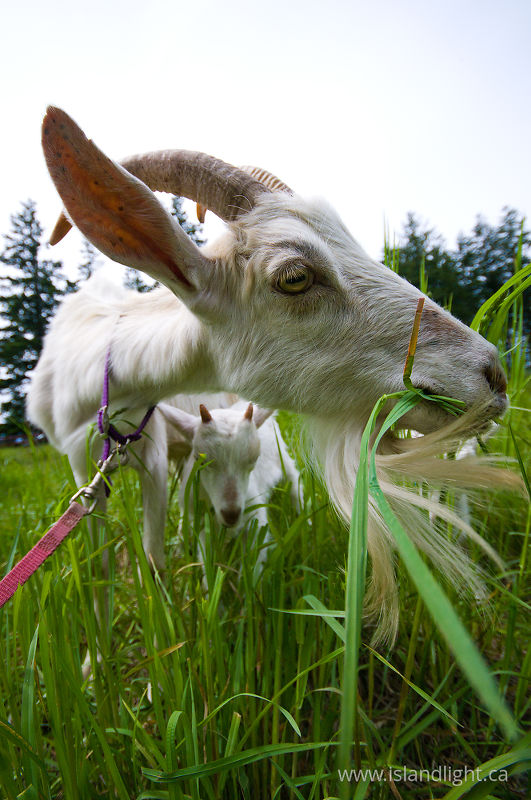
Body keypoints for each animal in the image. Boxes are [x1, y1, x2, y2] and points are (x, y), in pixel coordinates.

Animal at [33, 106, 517, 642]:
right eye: (294, 277)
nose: (493, 374)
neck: (106, 370)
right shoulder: (83, 462)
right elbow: (108, 563)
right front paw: (102, 655)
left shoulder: (153, 448)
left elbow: (153, 552)